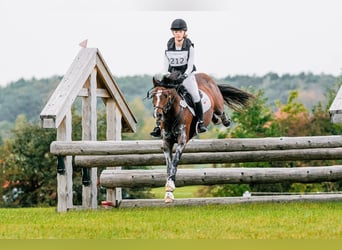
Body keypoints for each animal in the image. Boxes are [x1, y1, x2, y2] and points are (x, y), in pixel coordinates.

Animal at [147, 71, 254, 203]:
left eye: (166, 95)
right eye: (154, 96)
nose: (158, 115)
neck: (172, 115)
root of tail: (206, 76)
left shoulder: (182, 141)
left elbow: (175, 162)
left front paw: (170, 187)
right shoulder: (167, 143)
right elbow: (169, 165)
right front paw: (168, 193)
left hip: (218, 103)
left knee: (221, 112)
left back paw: (224, 120)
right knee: (214, 116)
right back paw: (214, 119)